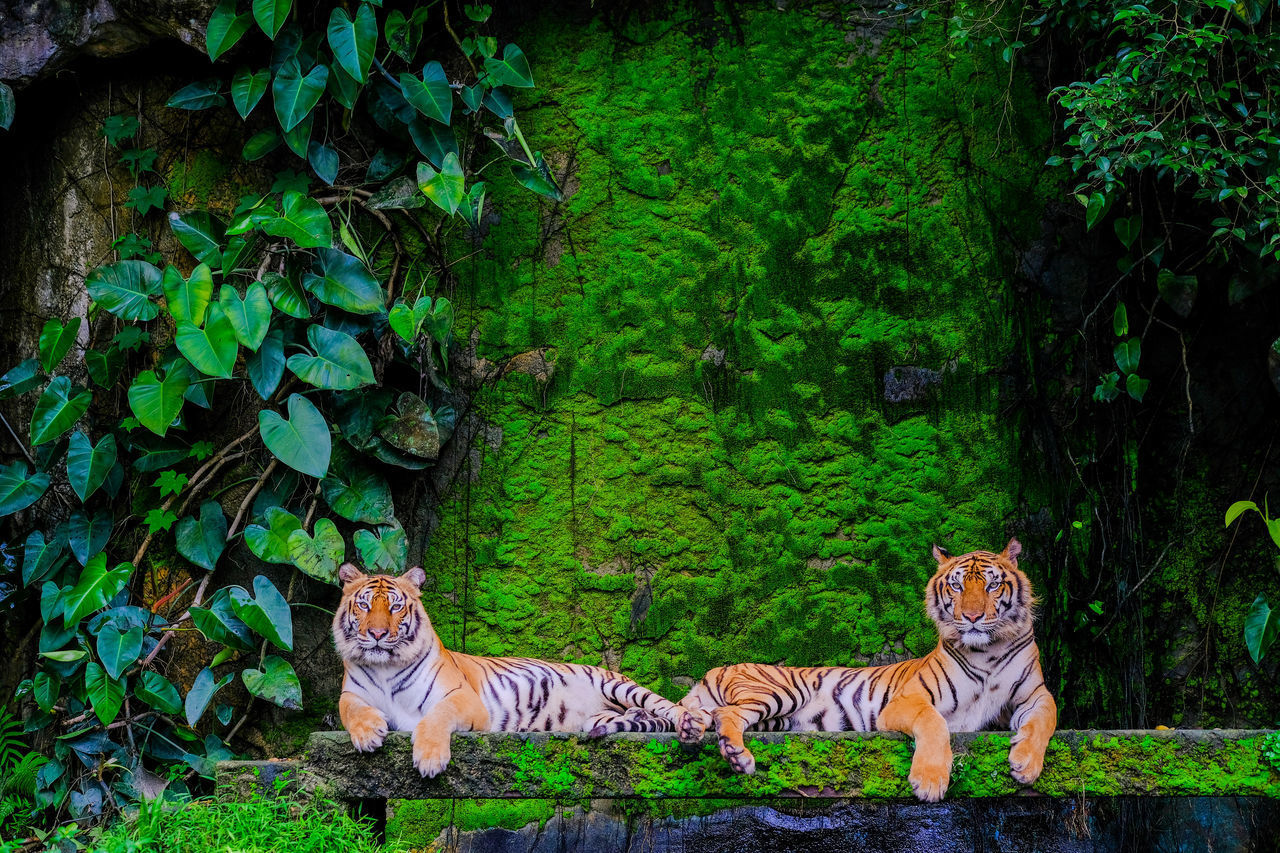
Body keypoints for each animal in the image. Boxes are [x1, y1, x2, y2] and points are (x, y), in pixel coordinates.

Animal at [335, 560, 686, 773]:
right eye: (364, 604)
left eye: (395, 607)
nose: (377, 634)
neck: (386, 667)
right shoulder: (351, 694)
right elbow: (351, 710)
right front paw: (368, 734)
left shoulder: (463, 698)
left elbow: (437, 716)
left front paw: (430, 759)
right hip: (598, 717)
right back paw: (634, 717)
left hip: (618, 684)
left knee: (671, 708)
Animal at [675, 537, 1054, 799]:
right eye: (957, 585)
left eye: (992, 584)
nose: (972, 617)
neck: (987, 651)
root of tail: (714, 669)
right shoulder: (907, 701)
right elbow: (935, 723)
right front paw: (930, 781)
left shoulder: (1033, 696)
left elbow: (1044, 720)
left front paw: (1026, 766)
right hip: (782, 692)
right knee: (727, 713)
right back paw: (737, 755)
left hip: (776, 717)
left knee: (711, 715)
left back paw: (694, 730)